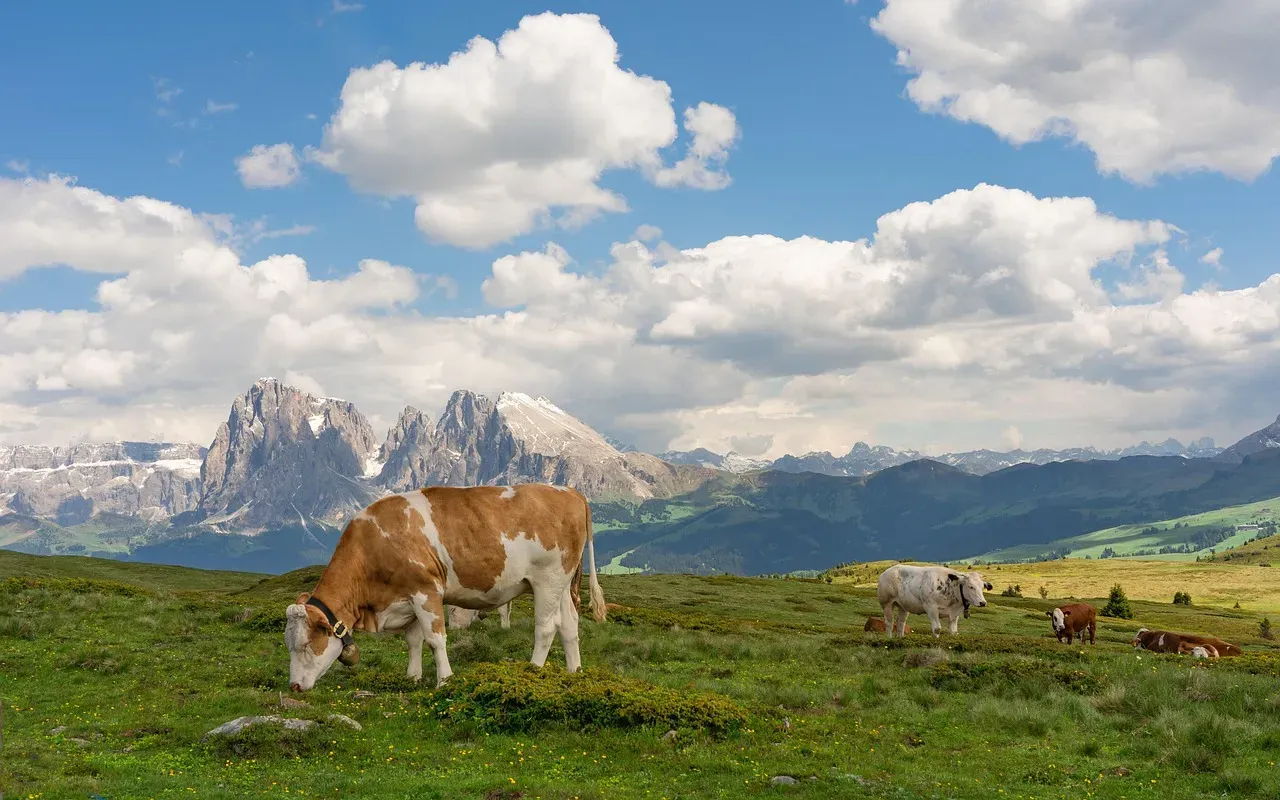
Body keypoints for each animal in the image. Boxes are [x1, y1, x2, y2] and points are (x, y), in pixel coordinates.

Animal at [283, 483, 606, 692]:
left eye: (305, 645)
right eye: (287, 644)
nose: (295, 686)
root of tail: (569, 491)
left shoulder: (426, 591)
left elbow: (435, 640)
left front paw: (444, 680)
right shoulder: (407, 597)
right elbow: (413, 640)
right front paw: (412, 678)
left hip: (546, 579)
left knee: (547, 627)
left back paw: (532, 671)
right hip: (562, 583)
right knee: (569, 624)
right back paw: (574, 674)